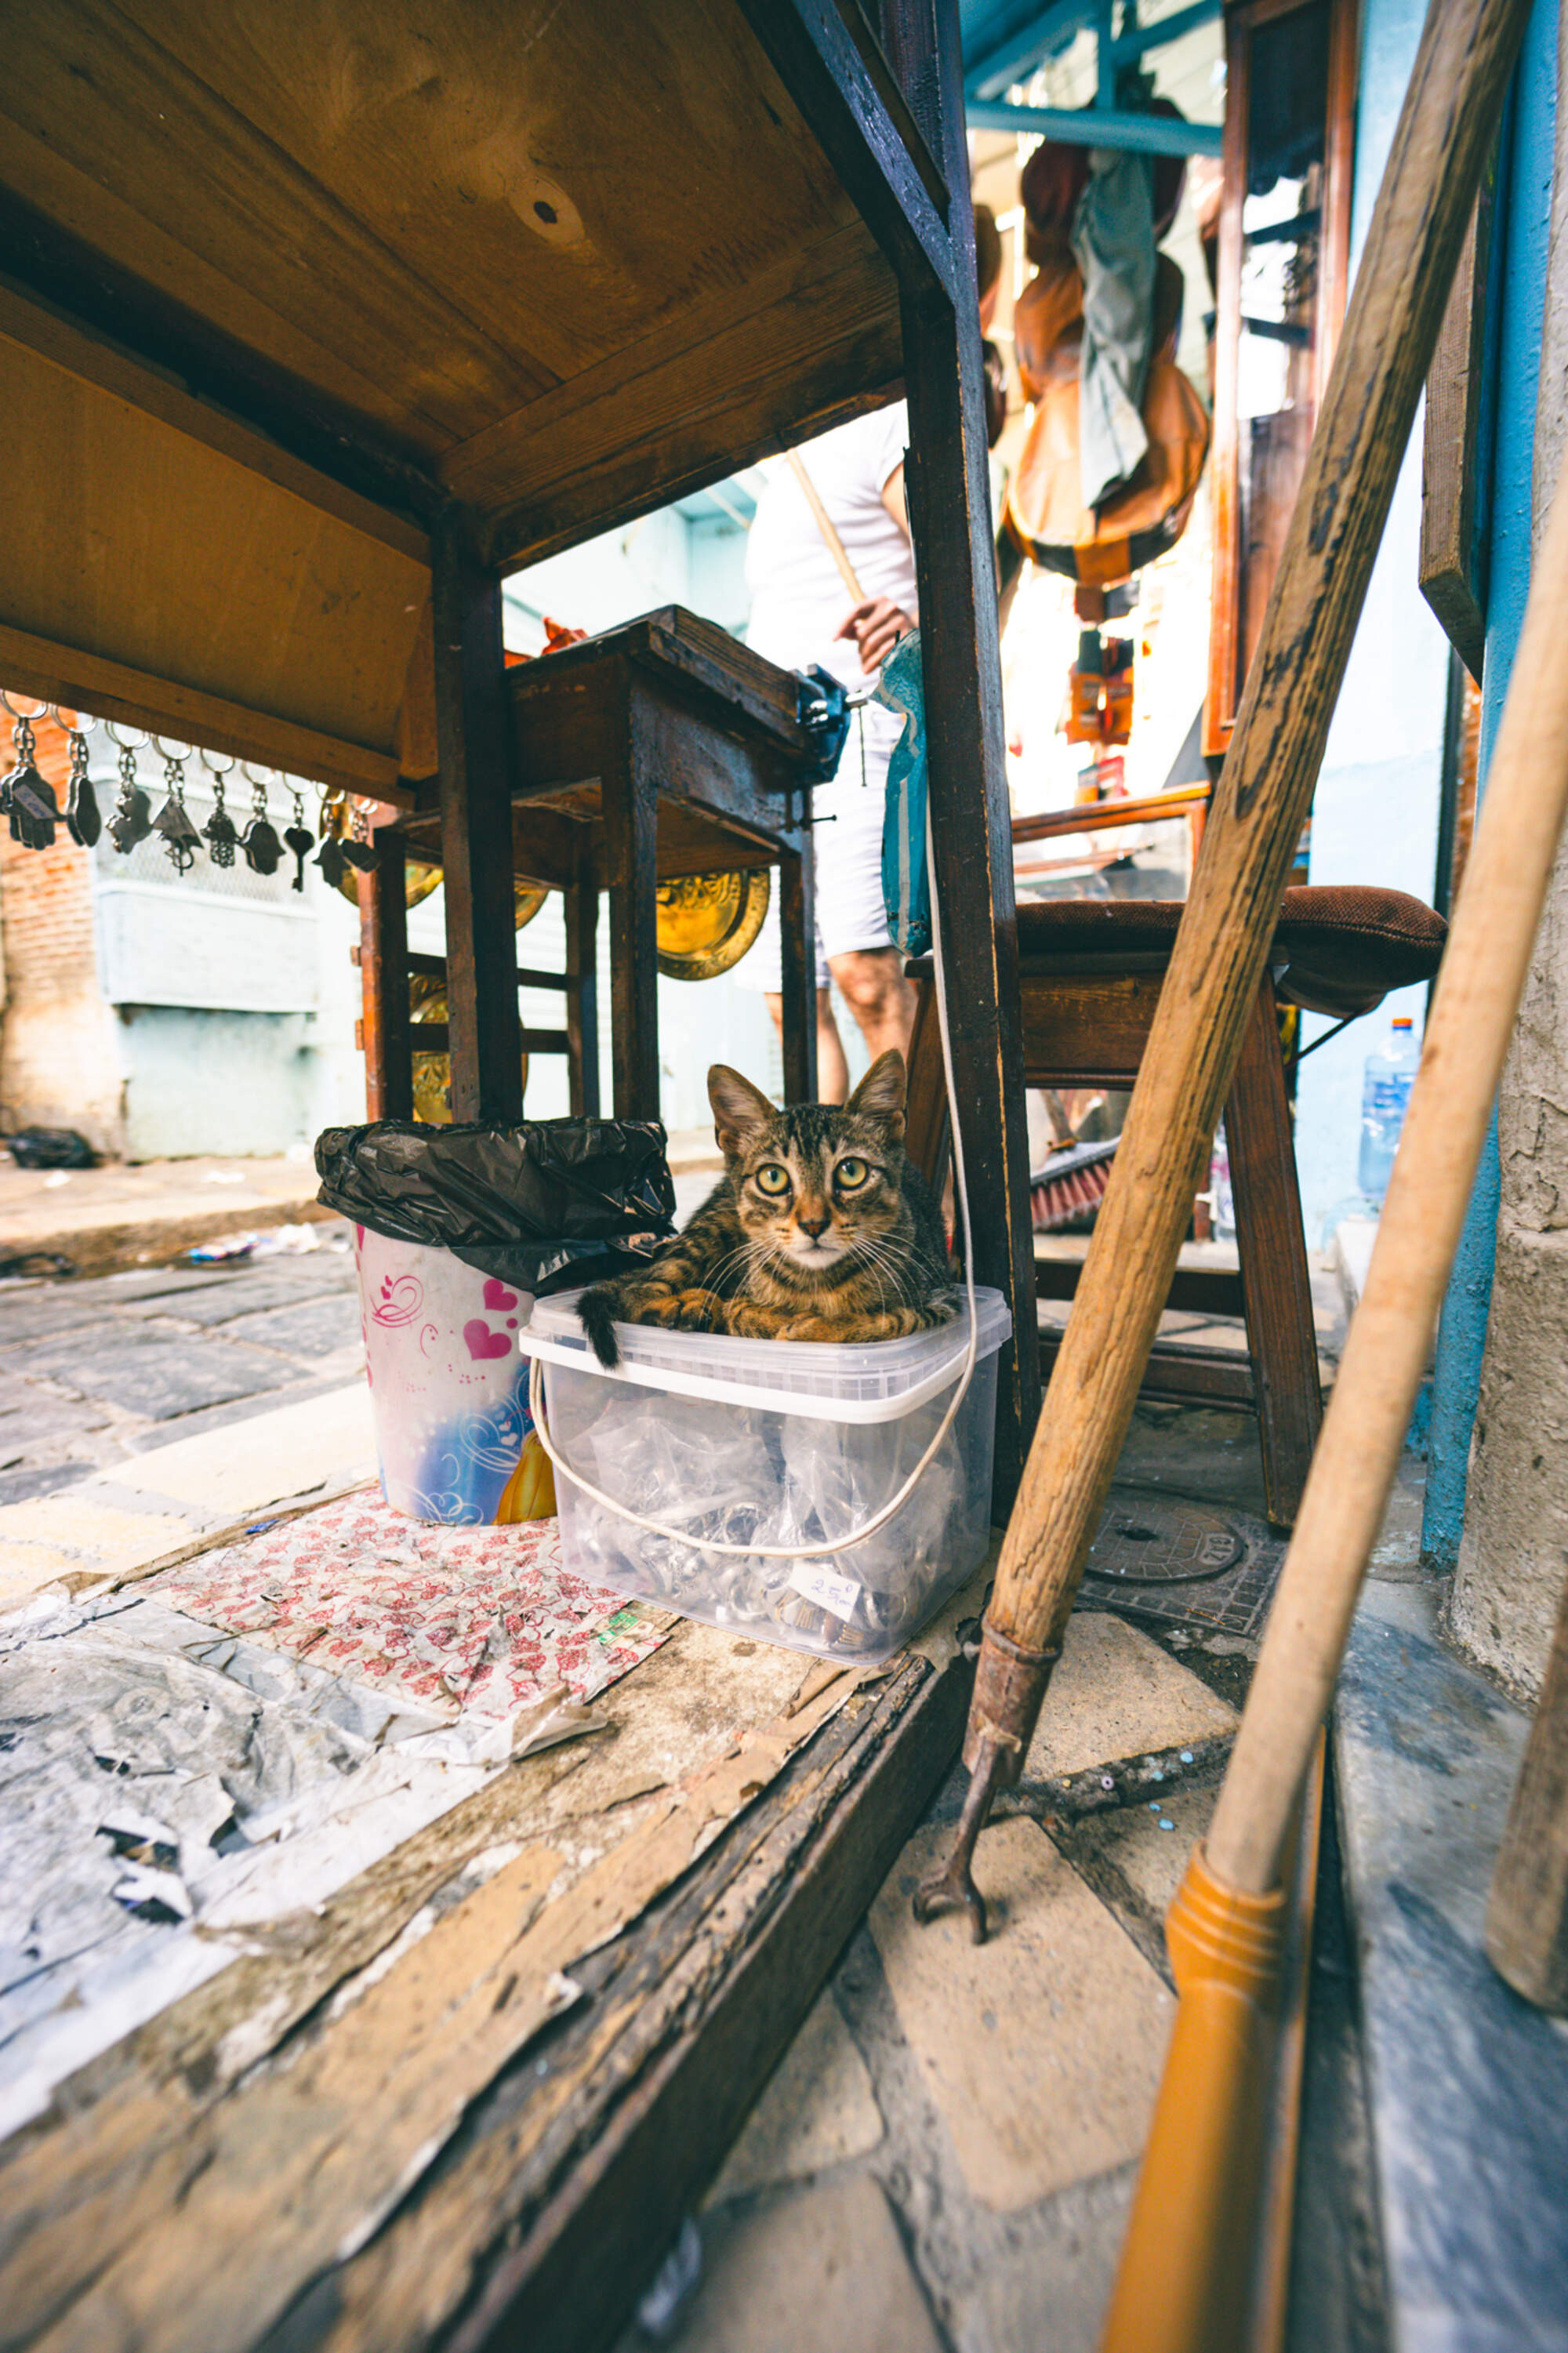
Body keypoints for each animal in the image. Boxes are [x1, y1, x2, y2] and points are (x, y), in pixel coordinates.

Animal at [576, 1058, 951, 1374]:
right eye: (773, 1177)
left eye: (851, 1171)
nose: (813, 1224)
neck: (817, 1285)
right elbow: (742, 1311)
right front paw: (773, 1320)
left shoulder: (943, 1300)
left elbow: (898, 1322)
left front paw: (811, 1328)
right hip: (711, 1230)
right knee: (634, 1293)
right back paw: (685, 1306)